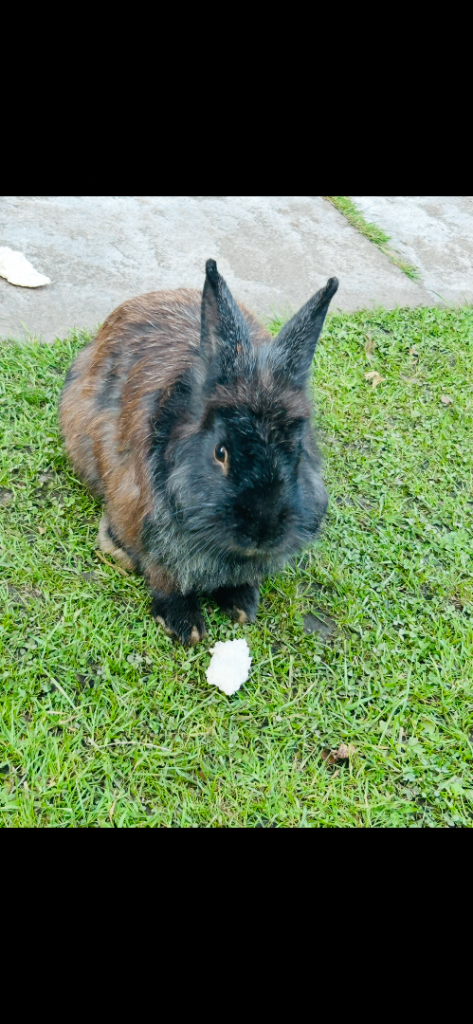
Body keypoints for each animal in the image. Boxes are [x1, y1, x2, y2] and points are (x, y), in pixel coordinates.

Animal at [59, 260, 338, 644]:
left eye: (297, 453)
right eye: (220, 453)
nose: (262, 532)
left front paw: (241, 604)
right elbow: (163, 577)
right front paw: (184, 623)